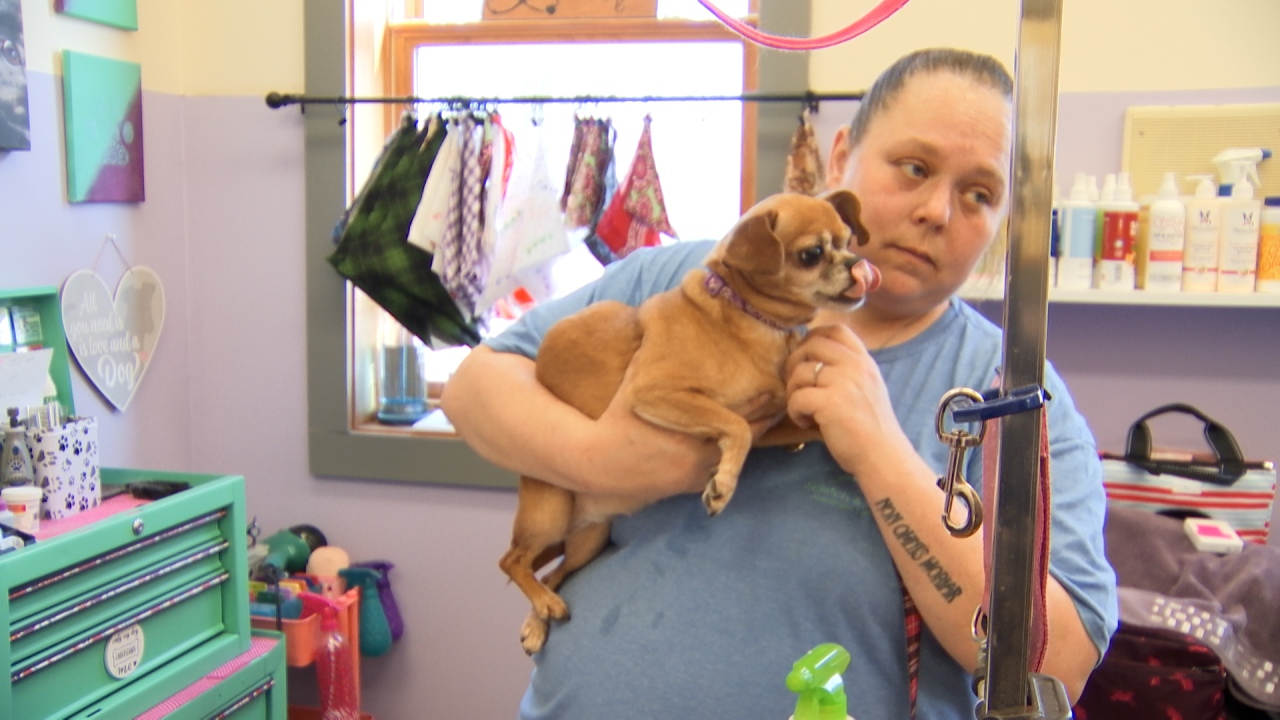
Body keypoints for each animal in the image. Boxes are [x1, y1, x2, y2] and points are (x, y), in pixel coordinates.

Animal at [499, 189, 880, 650]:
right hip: (551, 508)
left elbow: (800, 426)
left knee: (552, 571)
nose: (857, 265)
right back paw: (542, 606)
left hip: (587, 540)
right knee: (511, 560)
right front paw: (723, 487)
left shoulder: (765, 423)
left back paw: (540, 617)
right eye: (812, 254)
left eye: (848, 241)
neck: (750, 318)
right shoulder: (656, 394)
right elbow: (735, 426)